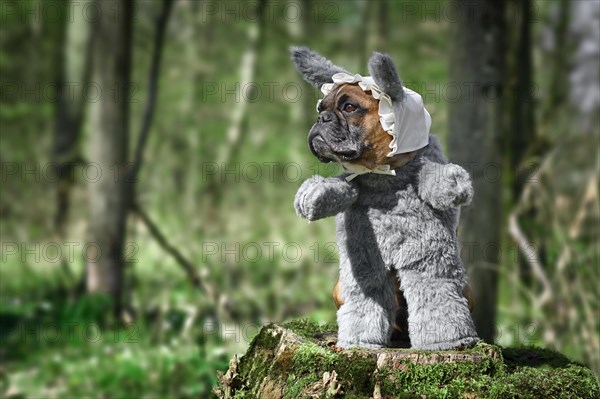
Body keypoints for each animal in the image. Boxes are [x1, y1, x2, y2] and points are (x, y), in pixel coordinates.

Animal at [290, 46, 478, 350]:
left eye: (349, 107)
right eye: (321, 108)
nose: (321, 119)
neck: (382, 174)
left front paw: (451, 183)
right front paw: (311, 196)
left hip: (463, 287)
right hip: (345, 283)